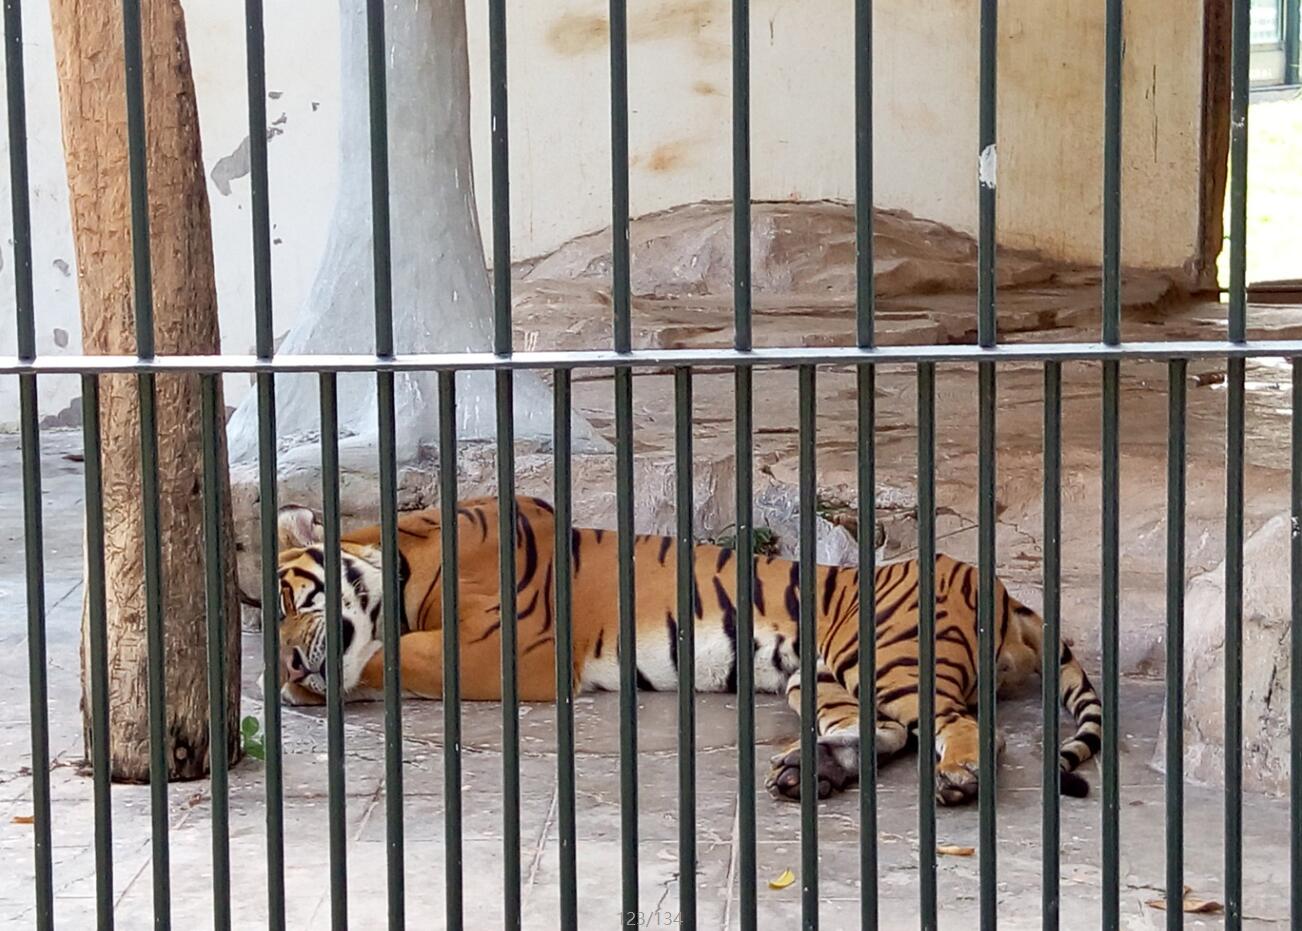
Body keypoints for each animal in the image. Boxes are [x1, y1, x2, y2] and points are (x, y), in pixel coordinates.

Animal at [273, 495, 1102, 803]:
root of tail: (999, 586)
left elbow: (395, 653)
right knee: (884, 730)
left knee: (971, 729)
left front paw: (329, 676)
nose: (288, 666)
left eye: (289, 600)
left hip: (888, 656)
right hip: (818, 675)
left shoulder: (512, 647)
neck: (404, 559)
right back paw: (810, 772)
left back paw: (956, 777)